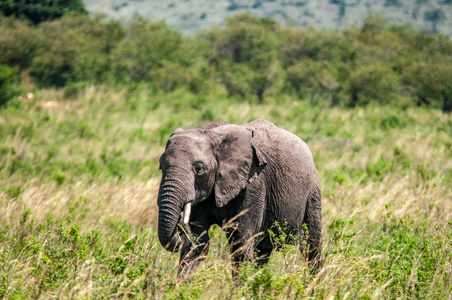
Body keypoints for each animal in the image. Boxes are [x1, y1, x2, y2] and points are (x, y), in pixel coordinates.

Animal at [157, 118, 324, 276]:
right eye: (160, 167)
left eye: (199, 169)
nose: (180, 225)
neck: (211, 134)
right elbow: (197, 243)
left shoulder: (252, 185)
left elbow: (240, 243)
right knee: (262, 250)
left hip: (312, 191)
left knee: (312, 246)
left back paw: (315, 282)